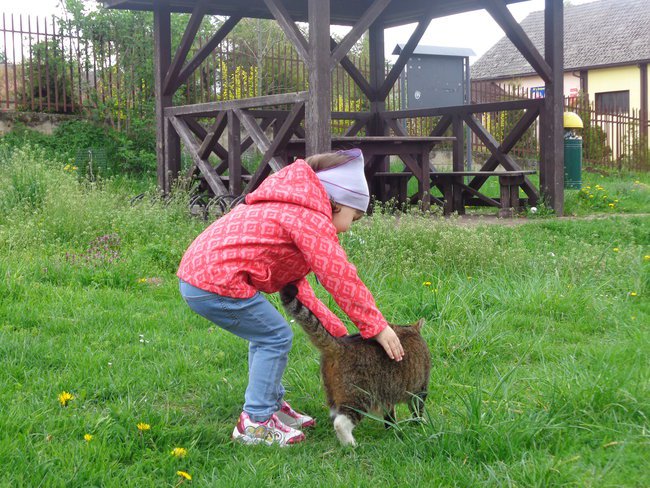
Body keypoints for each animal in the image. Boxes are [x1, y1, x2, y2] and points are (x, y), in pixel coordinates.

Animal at [280, 284, 431, 446]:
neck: (408, 329)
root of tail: (342, 345)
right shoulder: (419, 389)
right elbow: (417, 411)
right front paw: (419, 426)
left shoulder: (387, 393)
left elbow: (389, 414)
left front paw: (392, 428)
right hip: (359, 396)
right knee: (340, 423)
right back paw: (351, 445)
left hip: (334, 394)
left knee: (335, 415)